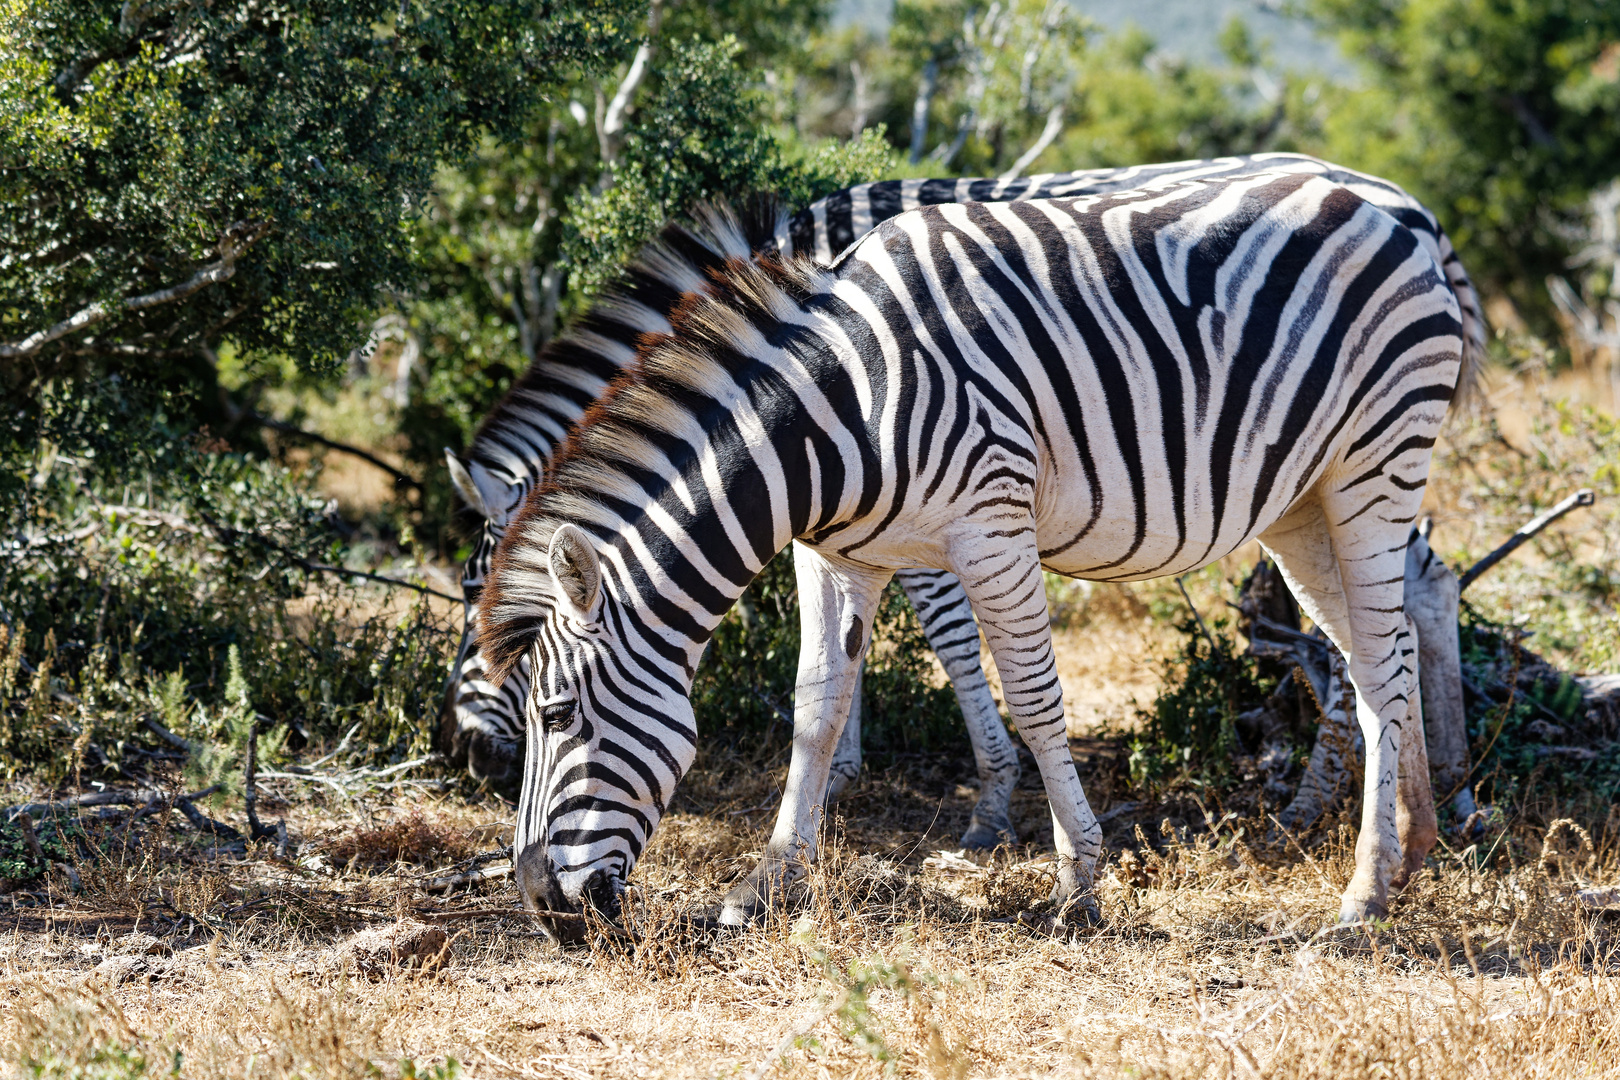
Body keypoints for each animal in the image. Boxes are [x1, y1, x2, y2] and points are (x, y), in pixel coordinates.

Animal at [476, 156, 1483, 939]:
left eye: (556, 716)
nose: (543, 911)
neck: (839, 412)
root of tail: (1399, 207)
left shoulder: (987, 527)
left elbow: (1032, 700)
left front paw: (1077, 881)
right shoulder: (836, 554)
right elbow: (815, 708)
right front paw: (766, 885)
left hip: (1376, 463)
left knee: (1383, 656)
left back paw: (1364, 896)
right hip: (1299, 501)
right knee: (1385, 644)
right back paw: (1415, 847)